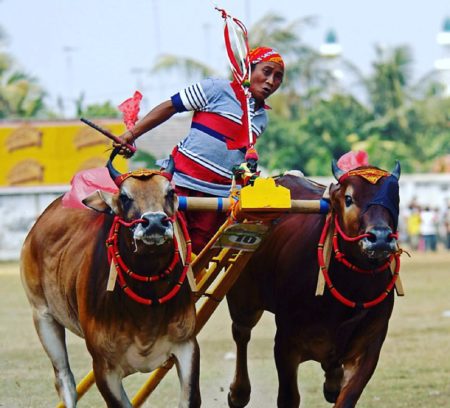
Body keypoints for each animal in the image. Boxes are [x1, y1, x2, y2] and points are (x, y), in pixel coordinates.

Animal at [20, 154, 200, 408]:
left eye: (170, 191)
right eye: (124, 196)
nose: (155, 222)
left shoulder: (187, 344)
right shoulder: (103, 366)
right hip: (42, 316)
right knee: (65, 379)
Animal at [229, 161, 400, 406]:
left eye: (395, 197)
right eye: (349, 198)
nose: (380, 238)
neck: (351, 287)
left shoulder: (369, 346)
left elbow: (346, 397)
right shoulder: (286, 343)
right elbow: (289, 397)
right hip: (243, 299)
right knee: (241, 333)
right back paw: (238, 393)